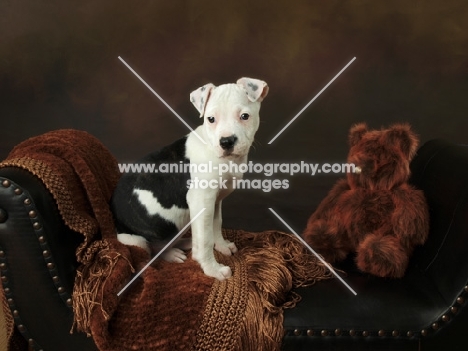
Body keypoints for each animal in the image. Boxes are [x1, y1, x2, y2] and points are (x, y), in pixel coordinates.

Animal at [110, 77, 266, 280]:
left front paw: (221, 246)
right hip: (137, 239)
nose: (226, 141)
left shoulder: (214, 201)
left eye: (245, 116)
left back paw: (185, 243)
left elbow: (215, 225)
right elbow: (205, 240)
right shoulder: (201, 200)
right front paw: (212, 269)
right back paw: (172, 253)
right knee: (152, 249)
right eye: (211, 119)